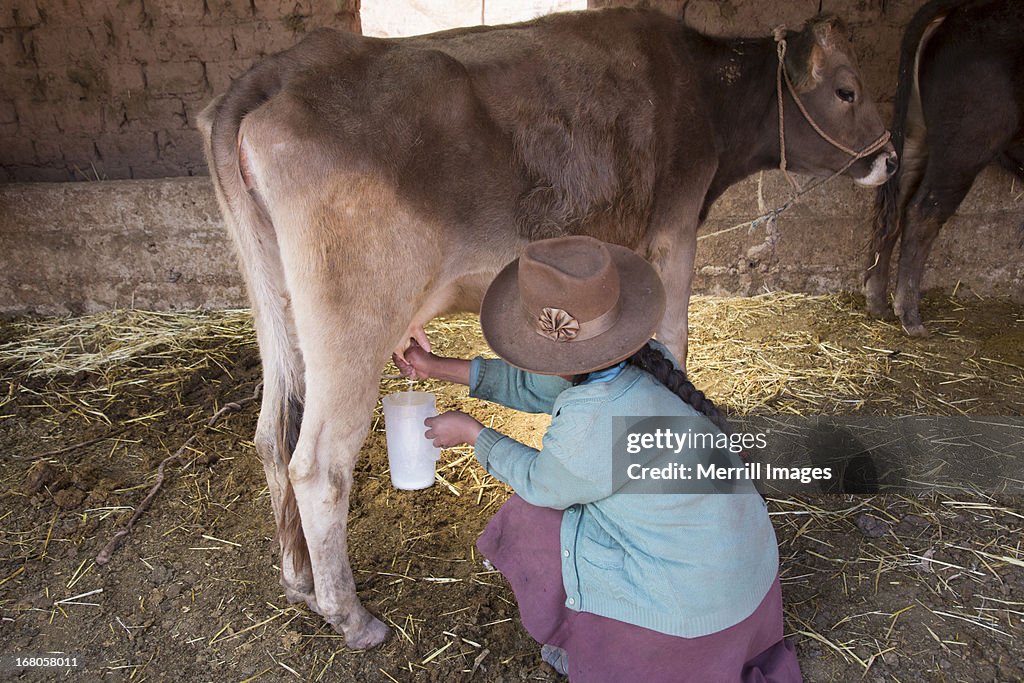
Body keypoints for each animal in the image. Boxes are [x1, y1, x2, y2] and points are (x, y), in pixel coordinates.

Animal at [195, 6, 892, 647]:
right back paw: (351, 616)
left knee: (272, 434)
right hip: (354, 317)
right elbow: (672, 340)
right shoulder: (673, 229)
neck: (700, 85)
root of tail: (282, 69)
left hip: (278, 307)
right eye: (847, 90)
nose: (889, 157)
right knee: (319, 465)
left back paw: (299, 582)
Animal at [864, 0, 1024, 333]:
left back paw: (877, 301)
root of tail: (959, 8)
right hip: (965, 147)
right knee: (924, 210)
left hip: (917, 137)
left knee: (896, 203)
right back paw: (910, 316)